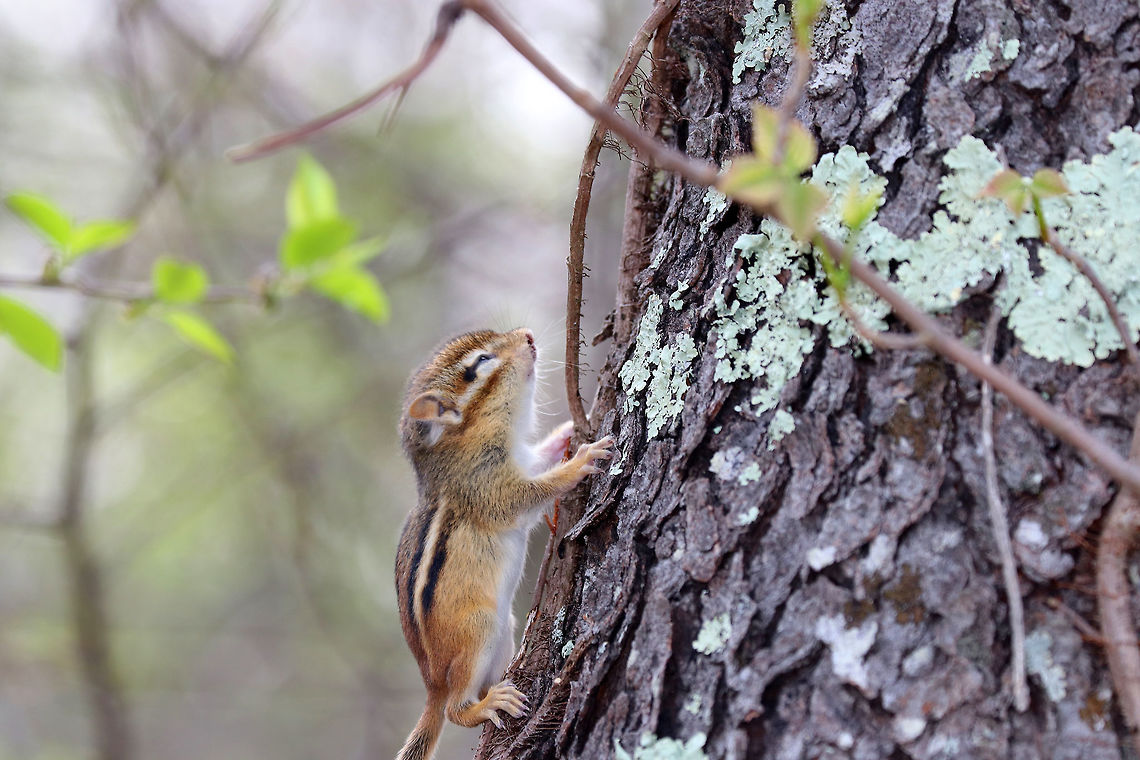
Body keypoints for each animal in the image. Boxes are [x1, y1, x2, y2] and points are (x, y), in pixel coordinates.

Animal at [394, 327, 614, 760]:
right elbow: (532, 493)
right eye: (479, 363)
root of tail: (432, 685)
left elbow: (542, 457)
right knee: (455, 710)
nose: (527, 334)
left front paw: (567, 432)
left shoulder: (523, 459)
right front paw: (581, 462)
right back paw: (483, 705)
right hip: (478, 629)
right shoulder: (488, 485)